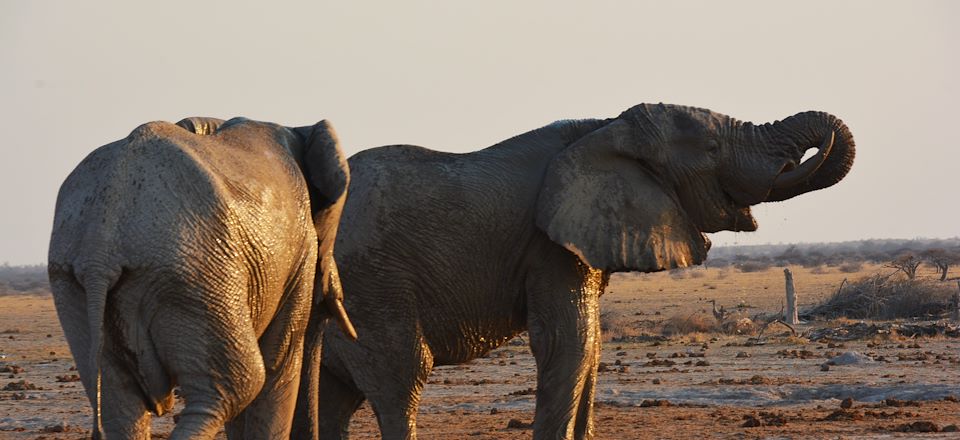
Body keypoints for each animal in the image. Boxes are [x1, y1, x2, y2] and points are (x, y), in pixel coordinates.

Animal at [47, 115, 356, 438]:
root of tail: (101, 245)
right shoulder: (300, 249)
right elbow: (279, 359)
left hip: (72, 284)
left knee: (118, 401)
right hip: (195, 273)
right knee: (233, 388)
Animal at [294, 103, 856, 440]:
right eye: (713, 150)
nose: (806, 154)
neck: (604, 126)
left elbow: (592, 347)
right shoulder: (548, 244)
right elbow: (569, 342)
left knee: (327, 395)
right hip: (370, 286)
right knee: (401, 377)